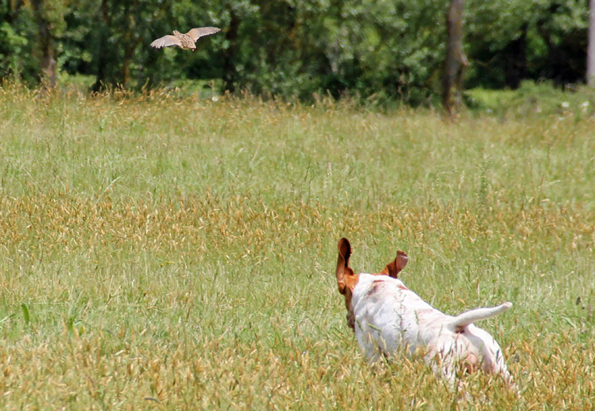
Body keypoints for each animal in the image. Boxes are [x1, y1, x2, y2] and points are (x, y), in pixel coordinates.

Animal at [336, 238, 516, 390]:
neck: (376, 284)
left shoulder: (372, 352)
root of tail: (457, 325)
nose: (348, 320)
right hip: (503, 375)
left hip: (446, 375)